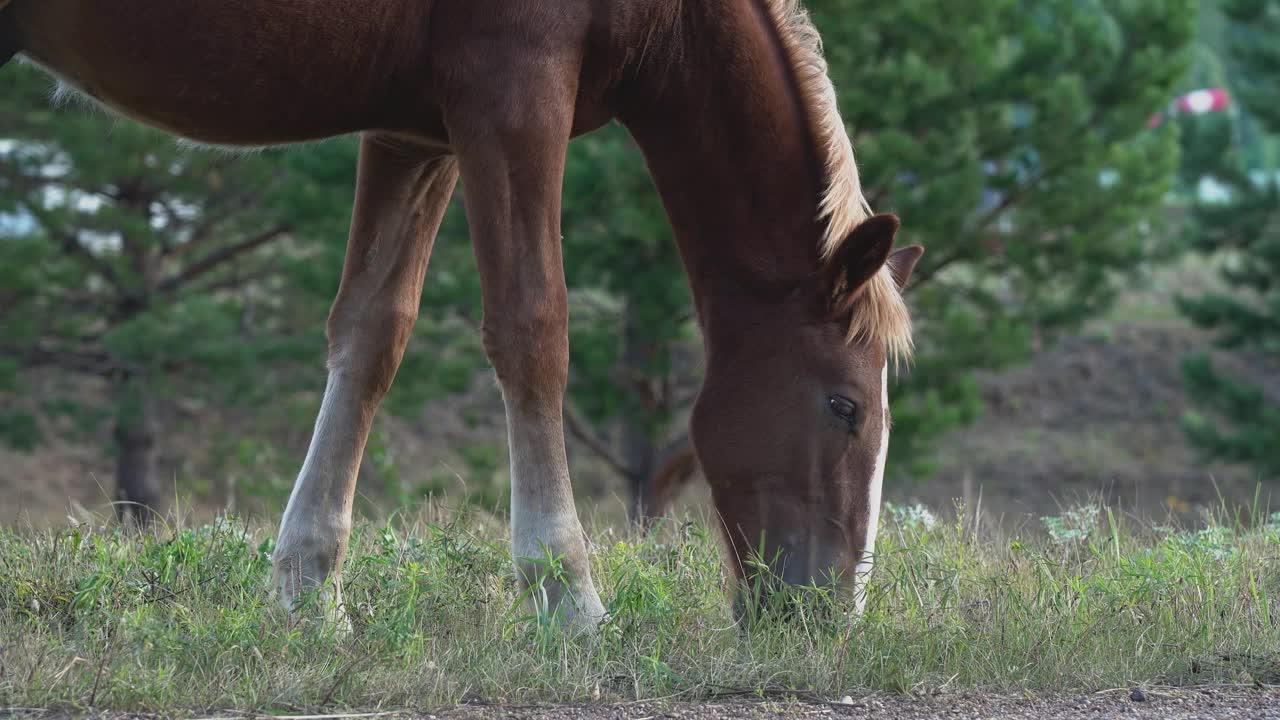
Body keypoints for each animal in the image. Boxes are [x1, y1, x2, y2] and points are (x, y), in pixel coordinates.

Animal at [0, 0, 921, 622]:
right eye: (845, 407)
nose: (829, 614)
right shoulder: (514, 91)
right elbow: (532, 329)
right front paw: (566, 594)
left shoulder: (419, 131)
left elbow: (371, 335)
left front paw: (309, 594)